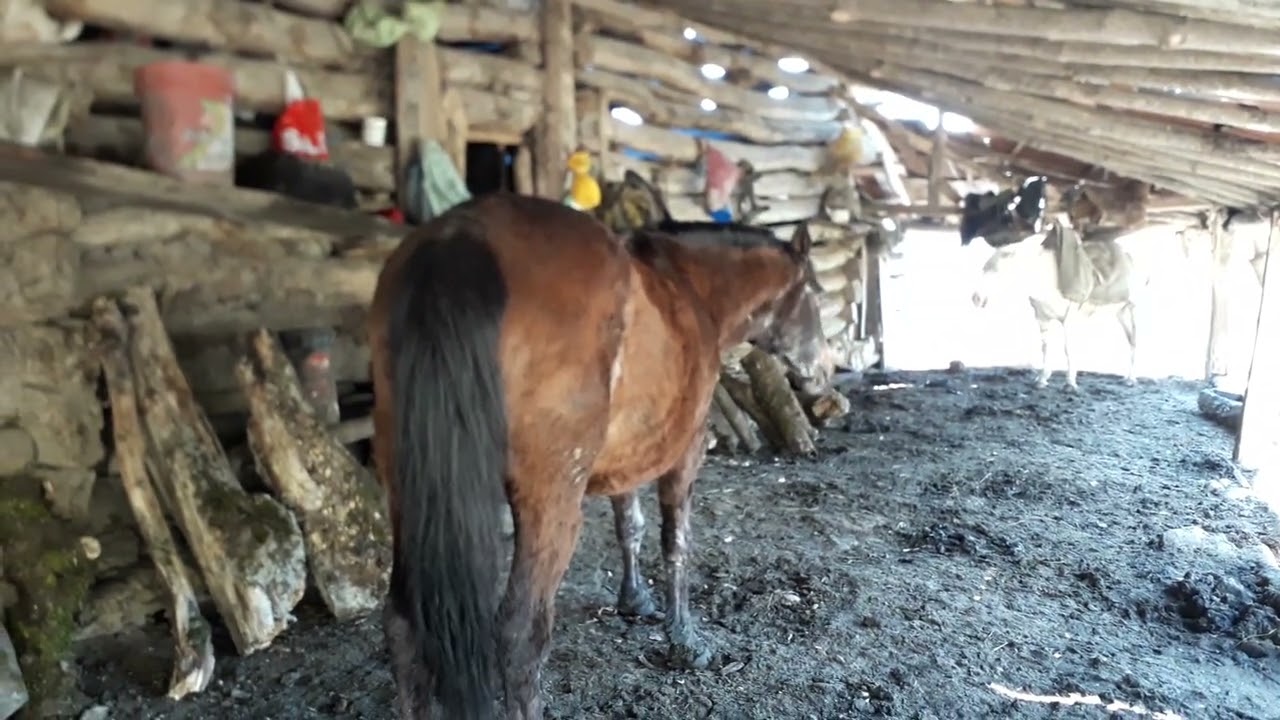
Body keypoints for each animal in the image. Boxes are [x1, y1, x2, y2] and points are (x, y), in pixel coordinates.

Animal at [367, 191, 834, 719]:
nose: (822, 371)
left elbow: (629, 525)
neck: (694, 289)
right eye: (816, 293)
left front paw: (635, 600)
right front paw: (685, 640)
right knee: (519, 635)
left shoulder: (626, 458)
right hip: (549, 506)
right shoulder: (687, 452)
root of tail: (459, 239)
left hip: (408, 492)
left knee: (402, 628)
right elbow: (676, 542)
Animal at [970, 226, 1147, 390]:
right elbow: (1045, 348)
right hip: (1121, 312)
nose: (976, 299)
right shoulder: (1042, 318)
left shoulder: (1069, 319)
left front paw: (1070, 383)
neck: (1047, 278)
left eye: (996, 272)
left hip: (1135, 309)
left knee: (1135, 340)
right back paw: (1127, 377)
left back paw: (1131, 379)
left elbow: (1068, 349)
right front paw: (1042, 379)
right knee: (1130, 341)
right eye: (983, 270)